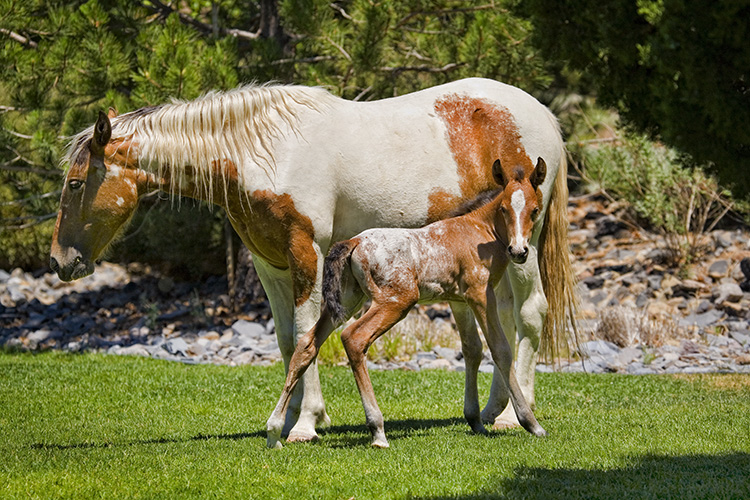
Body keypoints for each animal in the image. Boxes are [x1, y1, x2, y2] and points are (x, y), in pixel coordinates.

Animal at [268, 157, 548, 450]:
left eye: (535, 210)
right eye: (504, 209)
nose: (519, 251)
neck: (478, 230)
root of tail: (353, 241)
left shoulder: (458, 300)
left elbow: (473, 349)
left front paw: (476, 421)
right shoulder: (480, 295)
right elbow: (501, 350)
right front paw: (531, 424)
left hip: (348, 299)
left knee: (306, 344)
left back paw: (274, 430)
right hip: (396, 301)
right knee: (354, 338)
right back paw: (377, 430)